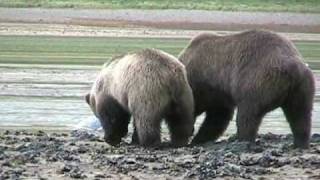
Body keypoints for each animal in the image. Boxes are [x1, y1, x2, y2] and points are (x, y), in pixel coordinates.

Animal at [179, 29, 316, 148]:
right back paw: (300, 142)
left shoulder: (206, 84)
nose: (191, 132)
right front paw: (198, 139)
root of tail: (293, 68)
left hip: (256, 81)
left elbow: (217, 115)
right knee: (300, 115)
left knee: (248, 114)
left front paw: (196, 139)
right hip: (302, 88)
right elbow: (218, 117)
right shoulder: (218, 92)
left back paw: (243, 138)